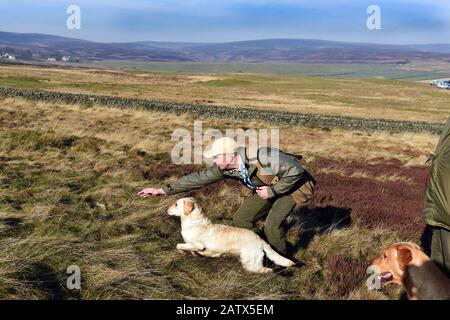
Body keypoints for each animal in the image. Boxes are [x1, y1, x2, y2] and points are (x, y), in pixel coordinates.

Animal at [167, 196, 298, 274]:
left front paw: (183, 252)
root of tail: (259, 239)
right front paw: (193, 253)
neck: (194, 221)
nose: (167, 209)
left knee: (265, 270)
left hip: (250, 262)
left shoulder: (199, 245)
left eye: (176, 204)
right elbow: (188, 247)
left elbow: (179, 245)